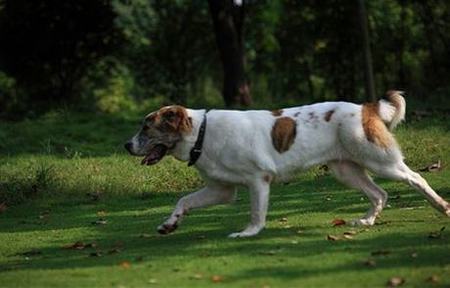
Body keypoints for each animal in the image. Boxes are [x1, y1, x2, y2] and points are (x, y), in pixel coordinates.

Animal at [125, 91, 450, 237]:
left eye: (146, 127)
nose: (126, 145)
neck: (201, 132)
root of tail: (365, 108)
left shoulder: (258, 180)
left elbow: (256, 213)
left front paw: (248, 234)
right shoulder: (221, 190)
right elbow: (184, 201)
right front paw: (170, 223)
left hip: (381, 161)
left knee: (416, 178)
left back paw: (442, 207)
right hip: (346, 170)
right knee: (379, 194)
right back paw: (366, 221)